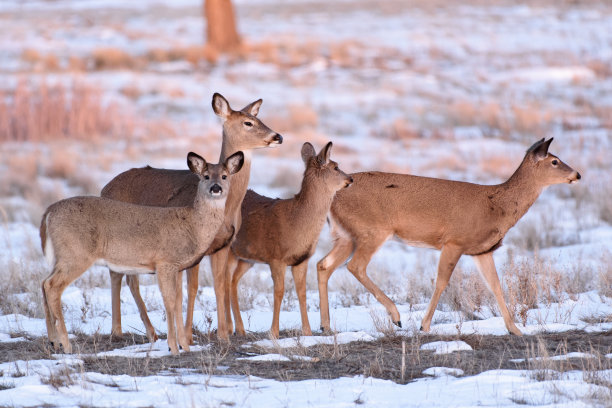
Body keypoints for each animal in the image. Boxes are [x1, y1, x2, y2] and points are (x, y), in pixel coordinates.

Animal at [38, 151, 246, 356]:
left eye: (225, 176)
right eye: (206, 176)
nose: (216, 188)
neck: (193, 225)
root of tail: (48, 212)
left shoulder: (177, 267)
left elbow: (179, 301)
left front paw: (185, 346)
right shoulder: (165, 262)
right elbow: (170, 302)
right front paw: (173, 347)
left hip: (62, 257)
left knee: (44, 283)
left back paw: (53, 342)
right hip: (76, 254)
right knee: (52, 286)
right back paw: (66, 345)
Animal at [101, 93, 284, 344]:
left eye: (259, 118)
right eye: (248, 122)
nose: (278, 136)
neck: (226, 210)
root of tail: (104, 188)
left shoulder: (223, 246)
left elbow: (220, 285)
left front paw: (223, 335)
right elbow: (192, 288)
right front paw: (187, 336)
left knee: (128, 277)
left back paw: (149, 331)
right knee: (117, 275)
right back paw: (121, 330)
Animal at [228, 141, 354, 338]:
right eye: (335, 166)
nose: (350, 178)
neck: (296, 222)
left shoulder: (301, 259)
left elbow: (302, 292)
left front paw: (308, 332)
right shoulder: (276, 257)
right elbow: (279, 292)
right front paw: (273, 332)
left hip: (246, 258)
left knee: (233, 281)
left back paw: (240, 329)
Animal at [318, 139, 580, 336]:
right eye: (555, 161)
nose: (577, 174)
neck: (497, 205)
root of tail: (331, 198)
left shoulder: (482, 250)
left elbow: (495, 285)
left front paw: (515, 329)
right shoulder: (454, 241)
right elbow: (442, 282)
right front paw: (424, 326)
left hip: (346, 235)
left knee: (324, 265)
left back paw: (326, 326)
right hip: (372, 230)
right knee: (355, 266)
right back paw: (396, 316)